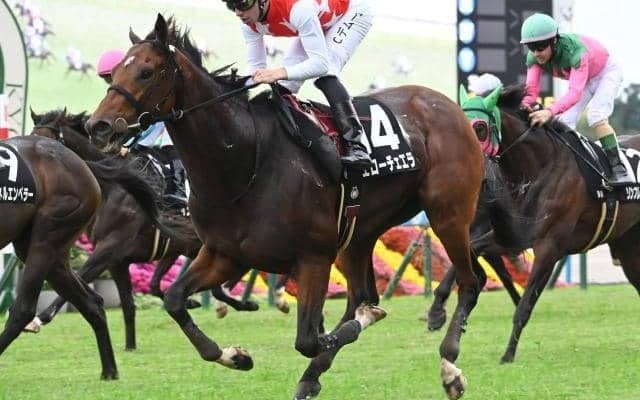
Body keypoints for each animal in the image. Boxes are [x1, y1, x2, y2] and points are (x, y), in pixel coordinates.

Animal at [0, 134, 173, 379]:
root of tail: (83, 165)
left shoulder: (110, 246)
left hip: (50, 233)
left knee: (23, 310)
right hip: (48, 248)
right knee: (93, 302)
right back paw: (109, 371)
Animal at [28, 109, 262, 349]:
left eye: (49, 143)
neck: (114, 186)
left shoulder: (110, 247)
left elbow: (80, 277)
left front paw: (40, 318)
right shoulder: (120, 261)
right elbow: (133, 301)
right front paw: (130, 346)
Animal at [85, 14, 485, 399]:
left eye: (146, 71)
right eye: (116, 71)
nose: (98, 126)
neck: (244, 163)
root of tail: (449, 106)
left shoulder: (313, 258)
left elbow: (309, 339)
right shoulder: (224, 254)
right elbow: (174, 300)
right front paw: (235, 355)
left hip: (448, 214)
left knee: (471, 281)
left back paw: (449, 365)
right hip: (358, 234)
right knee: (365, 294)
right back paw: (313, 376)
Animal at [460, 84, 640, 365]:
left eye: (479, 127)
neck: (540, 168)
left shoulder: (549, 247)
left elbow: (524, 306)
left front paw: (508, 355)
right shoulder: (511, 237)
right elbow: (474, 250)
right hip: (629, 248)